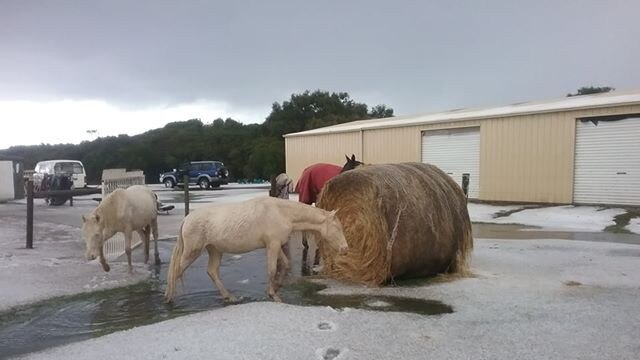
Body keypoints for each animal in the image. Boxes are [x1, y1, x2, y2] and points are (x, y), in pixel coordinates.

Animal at [162, 195, 348, 302]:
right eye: (337, 227)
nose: (345, 248)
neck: (281, 212)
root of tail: (187, 218)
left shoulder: (275, 245)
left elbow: (285, 265)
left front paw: (277, 287)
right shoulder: (272, 245)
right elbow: (272, 269)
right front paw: (274, 295)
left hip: (215, 250)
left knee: (212, 271)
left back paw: (229, 297)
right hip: (192, 252)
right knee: (177, 271)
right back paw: (168, 298)